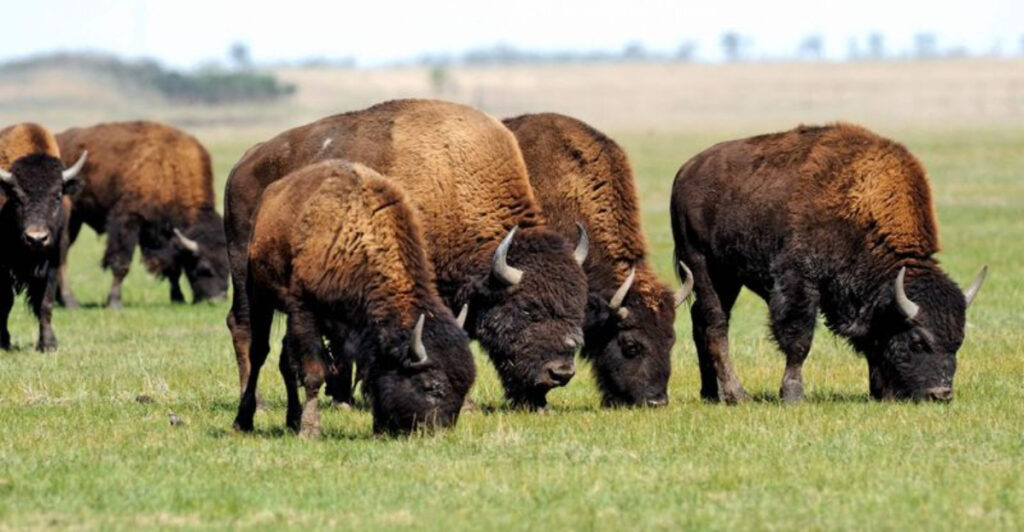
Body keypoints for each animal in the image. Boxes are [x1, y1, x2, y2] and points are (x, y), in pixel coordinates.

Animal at [671, 123, 986, 403]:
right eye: (917, 341)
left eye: (958, 341)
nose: (940, 394)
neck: (859, 208)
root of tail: (685, 170)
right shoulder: (799, 284)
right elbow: (799, 341)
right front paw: (793, 395)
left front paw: (879, 392)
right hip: (702, 266)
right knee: (715, 325)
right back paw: (737, 395)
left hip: (728, 278)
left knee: (701, 322)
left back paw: (711, 393)